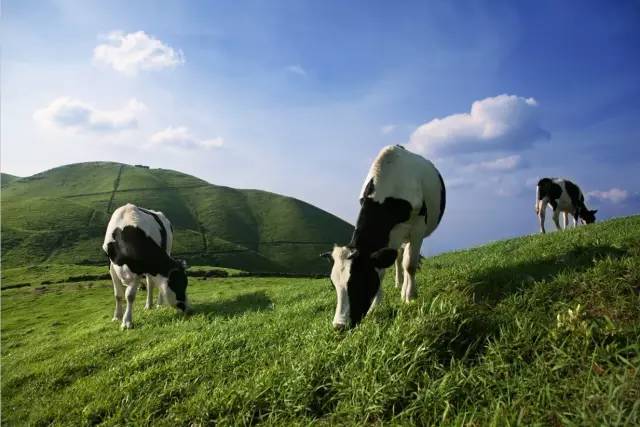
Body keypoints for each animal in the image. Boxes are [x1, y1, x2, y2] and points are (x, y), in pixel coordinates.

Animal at [322, 145, 448, 330]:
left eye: (359, 280)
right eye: (333, 284)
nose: (339, 326)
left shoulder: (417, 228)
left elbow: (410, 265)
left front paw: (410, 297)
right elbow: (383, 270)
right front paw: (375, 306)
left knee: (406, 259)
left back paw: (405, 289)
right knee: (399, 257)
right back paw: (398, 283)